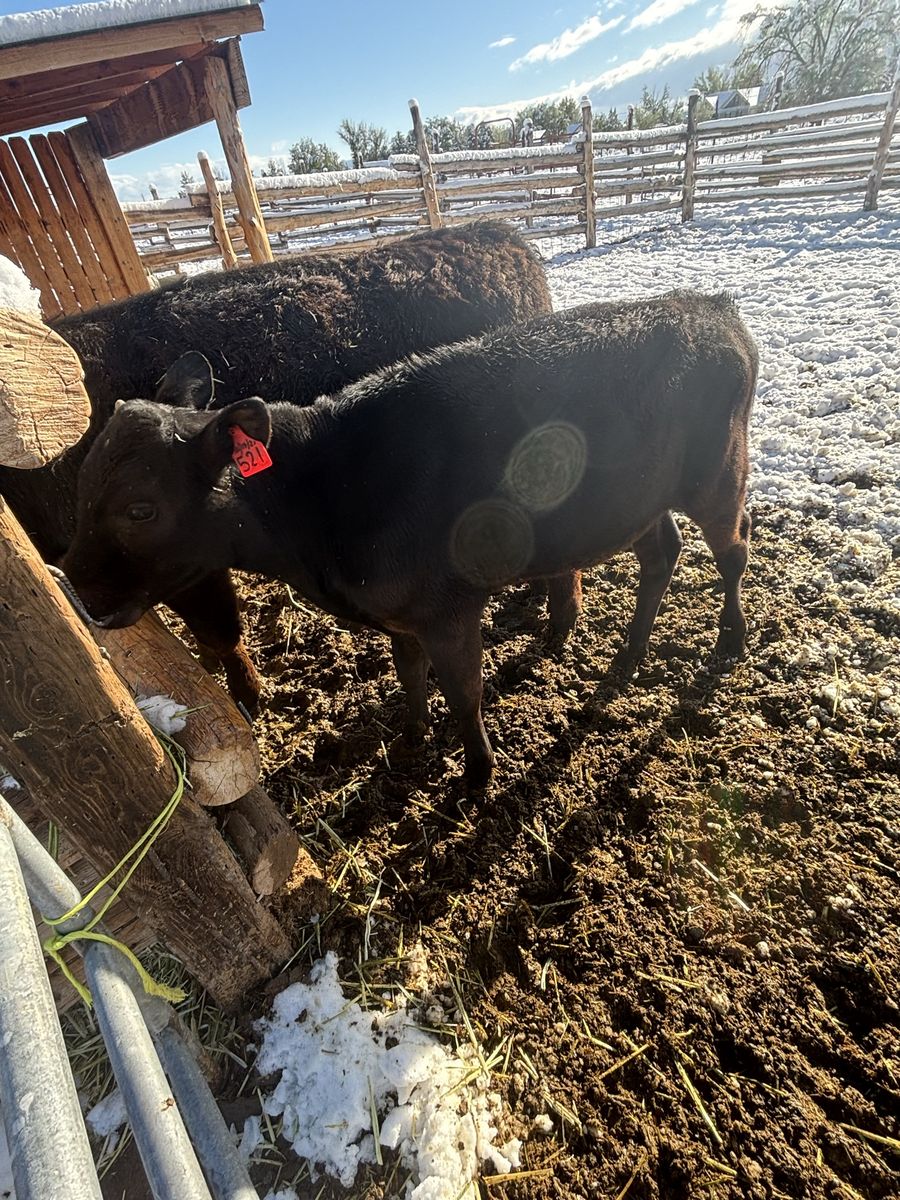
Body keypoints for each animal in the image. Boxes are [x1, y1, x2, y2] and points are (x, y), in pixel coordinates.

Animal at [63, 291, 758, 789]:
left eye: (140, 509)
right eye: (83, 482)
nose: (78, 589)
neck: (325, 501)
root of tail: (705, 302)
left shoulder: (447, 608)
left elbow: (464, 692)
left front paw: (476, 775)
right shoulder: (401, 615)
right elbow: (410, 676)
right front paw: (412, 741)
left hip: (719, 474)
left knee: (733, 551)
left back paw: (732, 637)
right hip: (642, 499)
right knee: (661, 552)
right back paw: (629, 651)